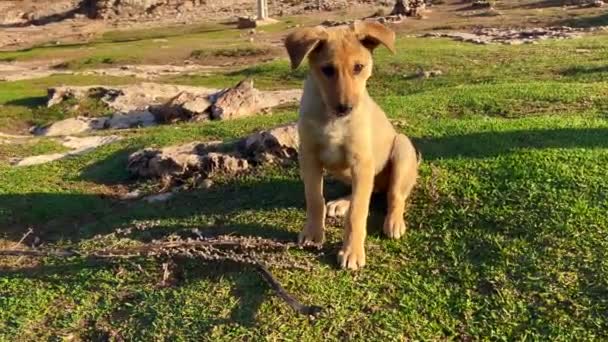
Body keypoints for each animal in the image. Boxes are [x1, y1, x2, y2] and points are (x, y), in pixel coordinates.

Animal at [284, 20, 418, 270]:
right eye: (327, 70)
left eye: (359, 67)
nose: (345, 108)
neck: (332, 118)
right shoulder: (309, 157)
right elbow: (314, 198)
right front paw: (313, 233)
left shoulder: (361, 161)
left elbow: (358, 212)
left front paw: (352, 252)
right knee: (369, 190)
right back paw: (340, 203)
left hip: (402, 148)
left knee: (394, 195)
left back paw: (394, 222)